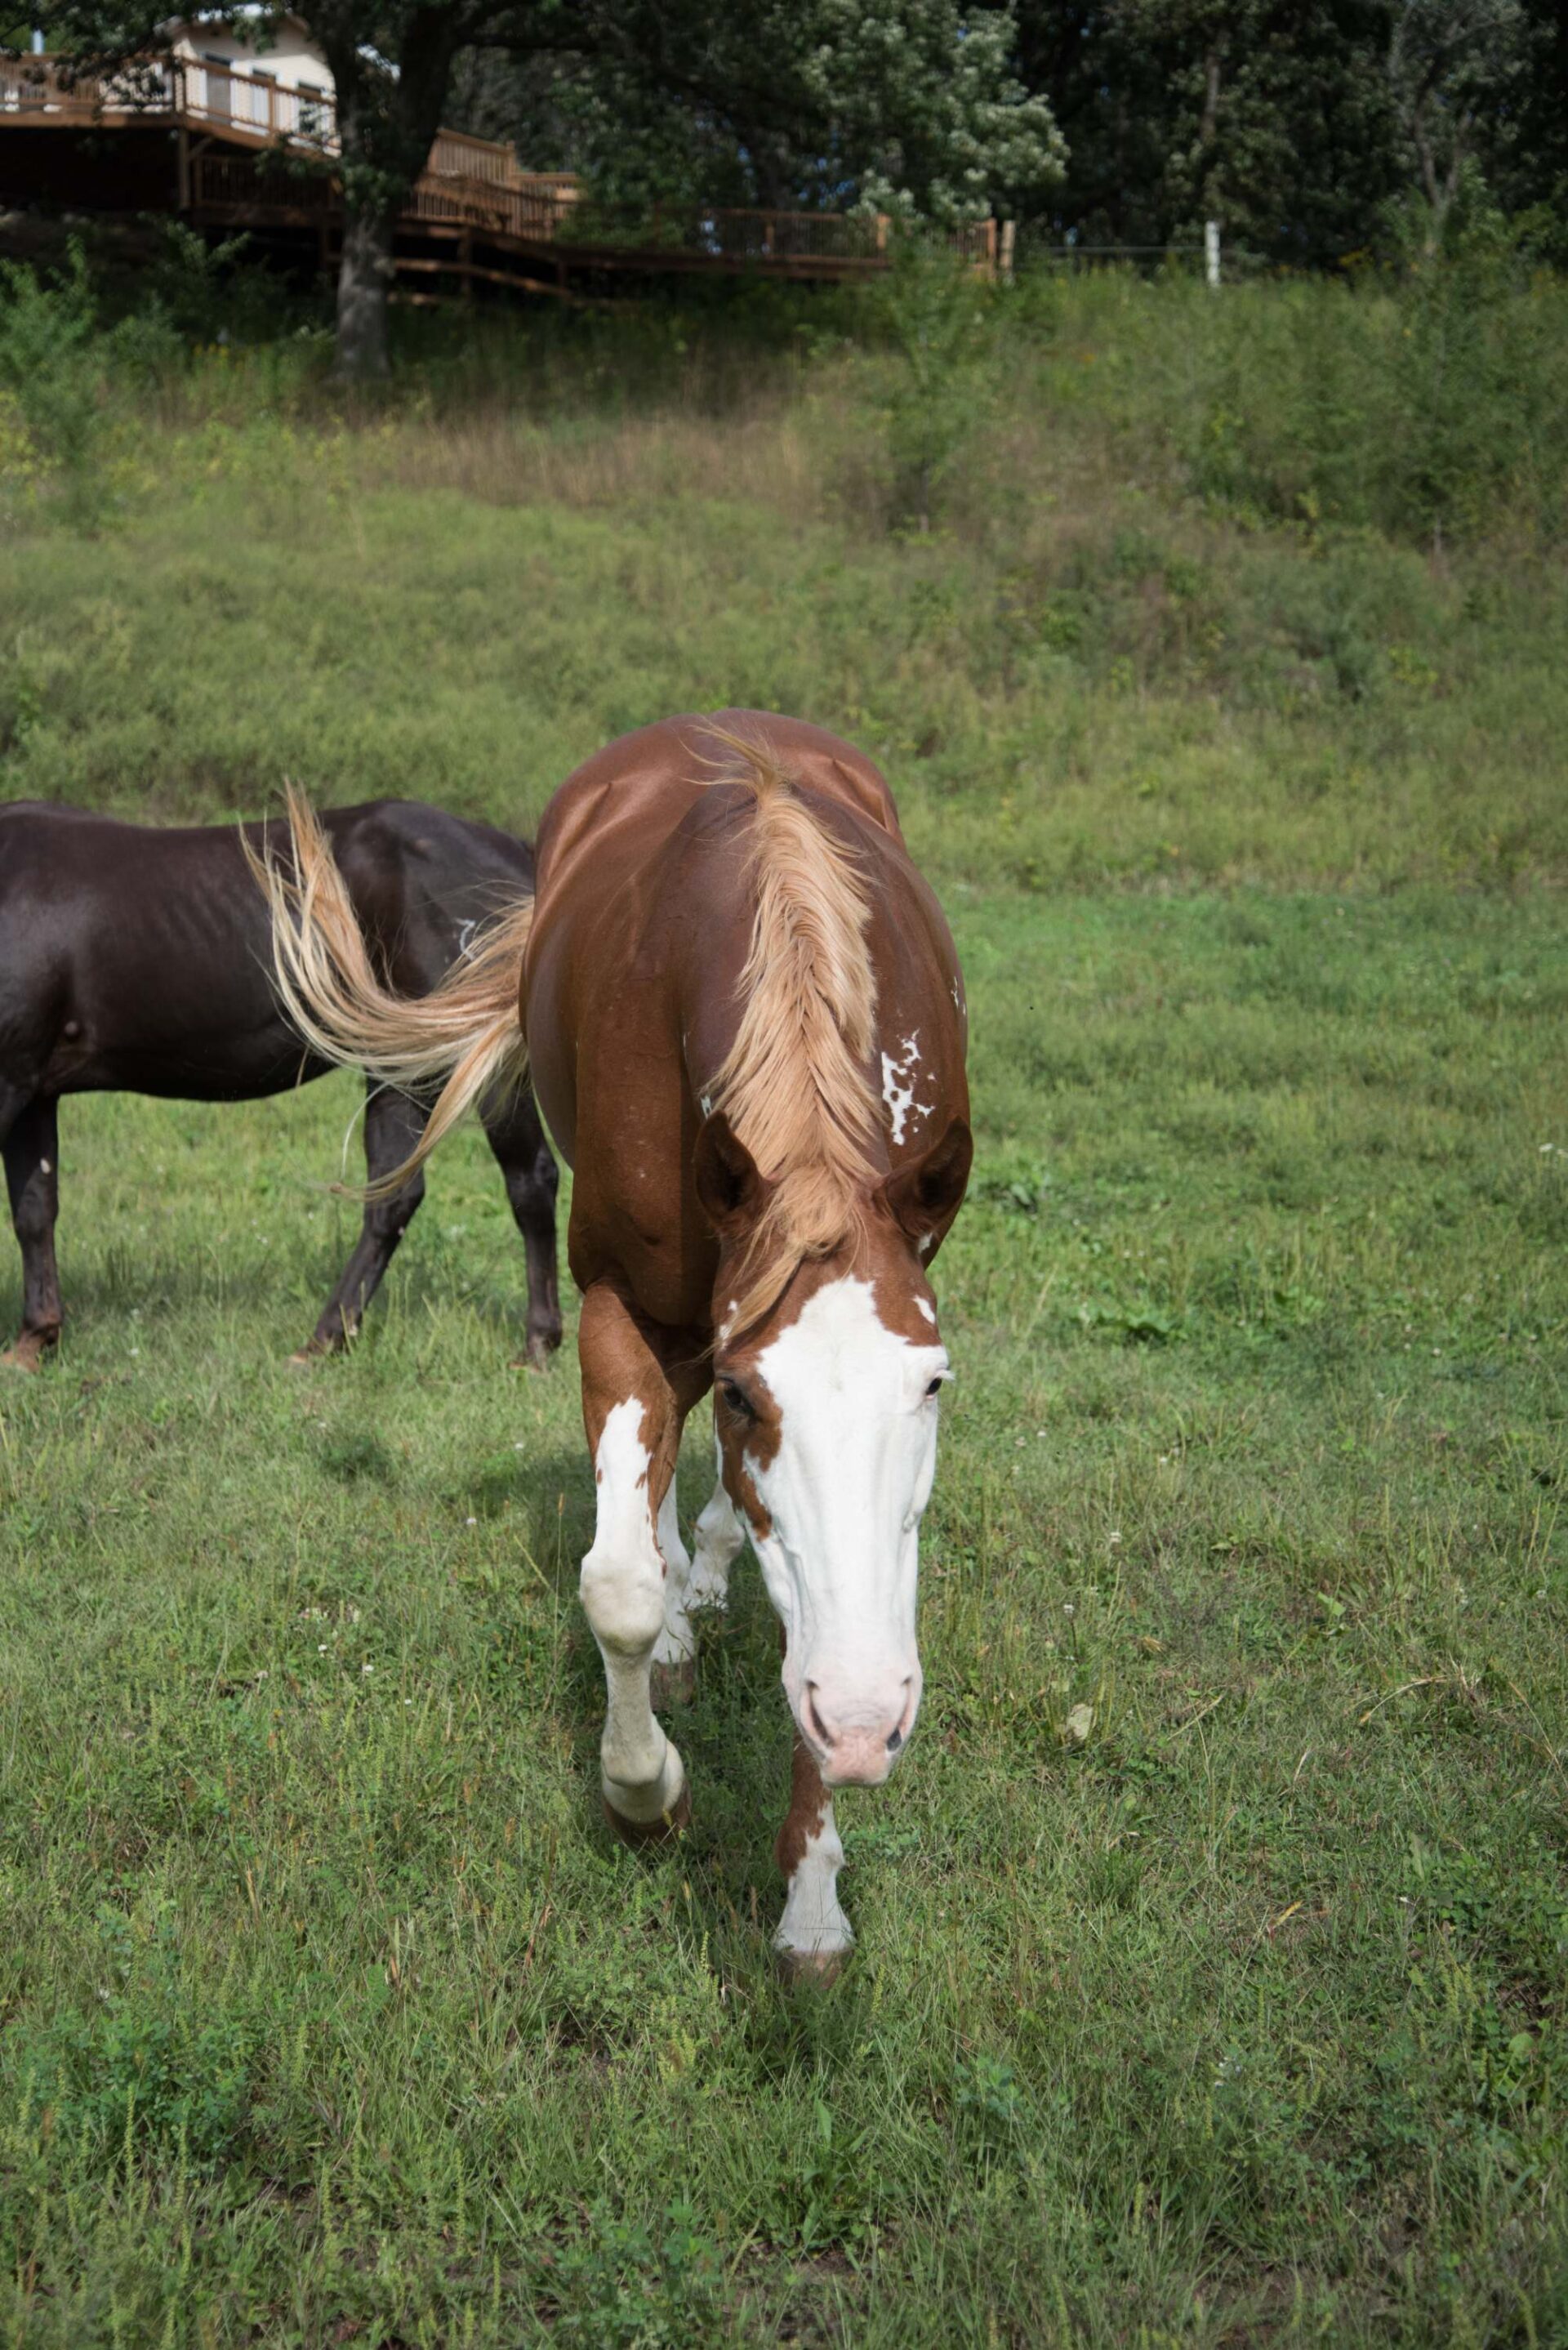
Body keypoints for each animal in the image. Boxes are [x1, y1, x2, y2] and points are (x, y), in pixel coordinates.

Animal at [0, 799, 564, 1372]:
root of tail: (522, 851)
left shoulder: (10, 1085)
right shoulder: (33, 1090)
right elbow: (34, 1210)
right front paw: (34, 1338)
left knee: (529, 1179)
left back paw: (538, 1344)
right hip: (403, 1064)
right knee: (394, 1197)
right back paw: (326, 1338)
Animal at [257, 709, 968, 1964]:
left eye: (931, 1387)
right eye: (747, 1392)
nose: (868, 1721)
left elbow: (812, 1602)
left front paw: (812, 1898)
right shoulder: (621, 1314)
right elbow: (622, 1584)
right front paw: (646, 1792)